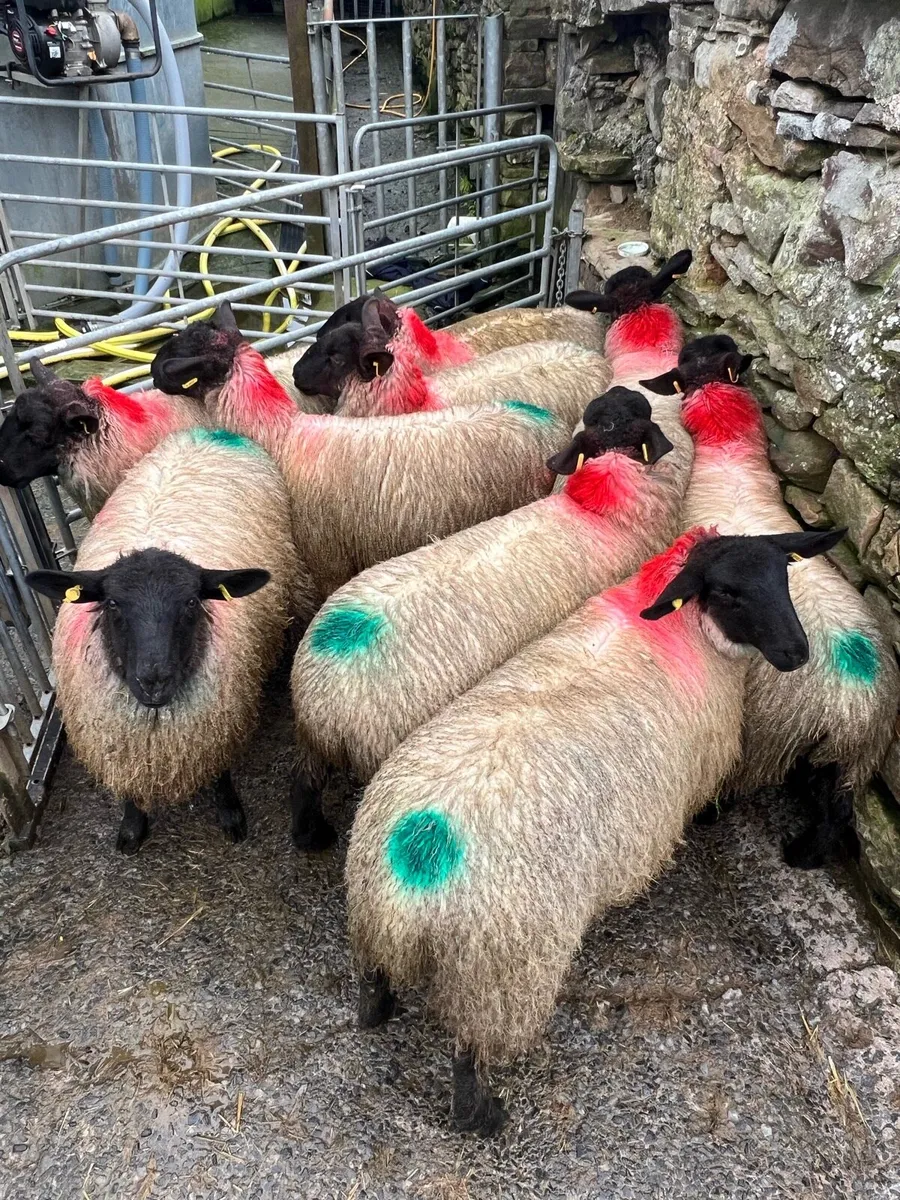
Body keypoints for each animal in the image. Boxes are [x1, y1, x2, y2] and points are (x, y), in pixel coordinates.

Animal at [26, 426, 308, 854]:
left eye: (191, 602)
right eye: (112, 604)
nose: (154, 680)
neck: (156, 725)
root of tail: (208, 430)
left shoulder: (217, 718)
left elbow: (220, 771)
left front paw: (230, 814)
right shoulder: (120, 741)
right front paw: (131, 828)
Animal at [345, 525, 843, 1134]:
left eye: (783, 574)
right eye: (728, 593)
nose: (797, 653)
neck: (680, 626)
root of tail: (414, 858)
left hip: (373, 921)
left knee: (372, 990)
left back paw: (380, 1011)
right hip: (500, 973)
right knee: (470, 1055)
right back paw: (486, 1116)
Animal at [641, 335, 900, 868]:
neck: (730, 459)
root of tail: (850, 704)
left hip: (765, 734)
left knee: (735, 782)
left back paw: (710, 815)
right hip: (852, 758)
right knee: (836, 810)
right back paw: (803, 855)